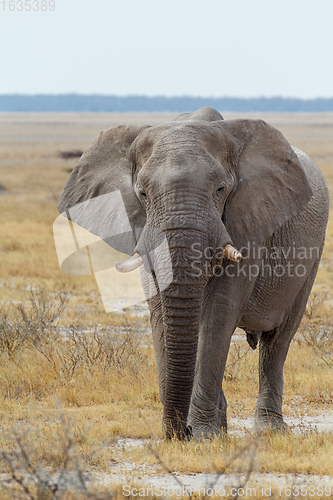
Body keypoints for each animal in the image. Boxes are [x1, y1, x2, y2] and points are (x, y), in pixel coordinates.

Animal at [57, 105, 326, 438]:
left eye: (221, 189)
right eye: (142, 193)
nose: (178, 434)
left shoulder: (249, 223)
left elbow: (218, 314)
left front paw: (203, 435)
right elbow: (161, 311)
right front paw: (197, 433)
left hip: (312, 255)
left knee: (277, 340)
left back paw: (269, 429)